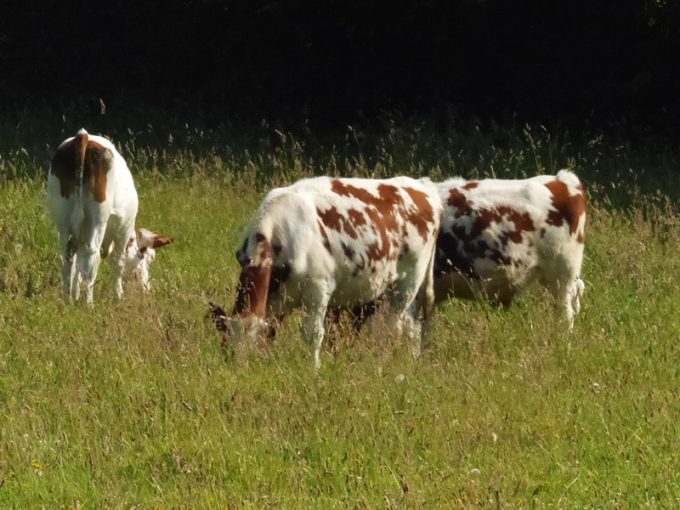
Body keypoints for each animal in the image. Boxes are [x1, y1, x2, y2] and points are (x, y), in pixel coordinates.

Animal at [47, 129, 172, 305]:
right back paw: (89, 303)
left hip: (62, 217)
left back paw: (66, 299)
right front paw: (119, 297)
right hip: (99, 218)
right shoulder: (124, 229)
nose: (146, 288)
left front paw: (75, 295)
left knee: (67, 255)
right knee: (92, 254)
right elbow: (119, 263)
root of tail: (83, 136)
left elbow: (78, 265)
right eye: (147, 257)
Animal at [211, 176, 442, 368]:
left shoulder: (317, 288)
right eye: (226, 343)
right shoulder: (276, 297)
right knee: (411, 326)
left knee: (390, 327)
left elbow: (313, 334)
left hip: (408, 282)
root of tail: (419, 184)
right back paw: (411, 362)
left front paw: (313, 370)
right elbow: (274, 329)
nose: (241, 369)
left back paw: (380, 364)